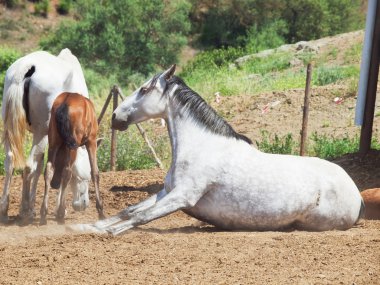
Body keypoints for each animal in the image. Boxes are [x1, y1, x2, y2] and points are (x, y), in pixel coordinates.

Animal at [1, 48, 94, 222]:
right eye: (87, 176)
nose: (84, 204)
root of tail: (26, 67)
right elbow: (61, 170)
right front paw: (59, 210)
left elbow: (40, 168)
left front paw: (33, 208)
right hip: (41, 133)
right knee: (28, 165)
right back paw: (25, 210)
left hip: (10, 128)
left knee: (10, 160)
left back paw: (5, 210)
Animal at [73, 65, 362, 235]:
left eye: (144, 89)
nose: (115, 117)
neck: (201, 147)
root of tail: (357, 195)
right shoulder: (167, 191)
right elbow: (128, 211)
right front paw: (82, 225)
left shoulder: (182, 196)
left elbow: (138, 218)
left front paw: (98, 232)